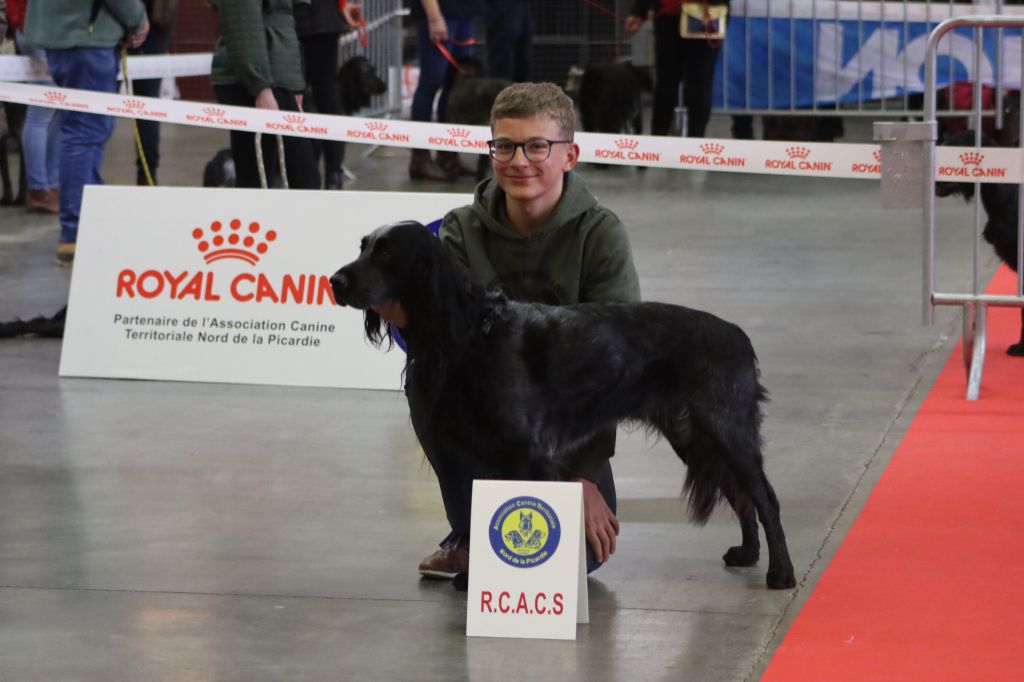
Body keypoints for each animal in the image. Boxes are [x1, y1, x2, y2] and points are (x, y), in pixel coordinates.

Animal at [331, 220, 794, 585]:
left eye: (386, 253)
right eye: (363, 246)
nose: (335, 281)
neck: (468, 332)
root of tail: (737, 334)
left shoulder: (525, 452)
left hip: (725, 430)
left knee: (765, 498)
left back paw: (781, 573)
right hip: (696, 437)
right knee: (741, 495)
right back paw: (747, 554)